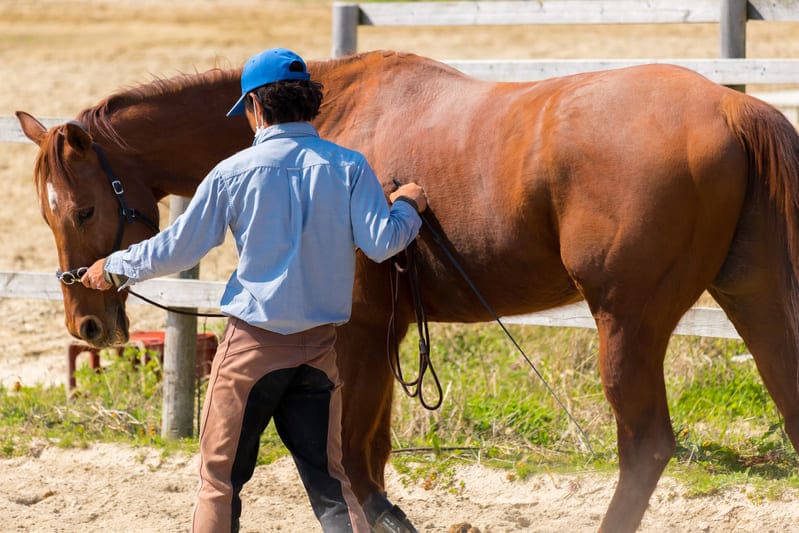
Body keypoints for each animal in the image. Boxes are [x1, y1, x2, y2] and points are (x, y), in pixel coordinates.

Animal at [15, 48, 799, 528]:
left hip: (627, 324)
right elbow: (370, 452)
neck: (323, 121)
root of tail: (733, 109)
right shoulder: (389, 331)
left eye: (82, 210)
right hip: (755, 299)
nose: (86, 324)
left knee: (644, 447)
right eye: (46, 212)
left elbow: (355, 462)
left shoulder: (360, 329)